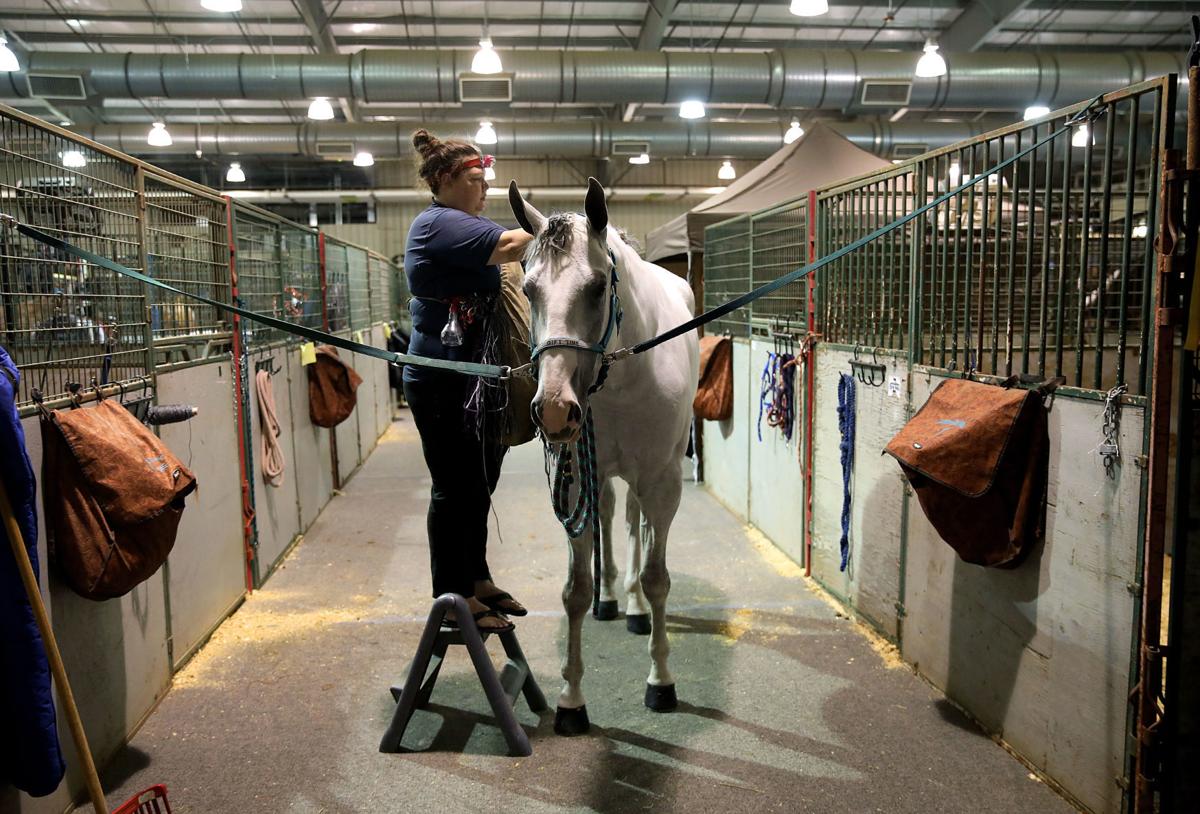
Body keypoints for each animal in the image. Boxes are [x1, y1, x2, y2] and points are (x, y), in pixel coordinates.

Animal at [508, 178, 700, 735]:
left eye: (596, 287)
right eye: (529, 289)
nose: (554, 410)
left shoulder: (662, 482)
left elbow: (657, 578)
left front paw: (661, 681)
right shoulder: (575, 481)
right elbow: (576, 588)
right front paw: (572, 700)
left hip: (644, 480)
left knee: (637, 525)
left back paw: (633, 605)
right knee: (615, 518)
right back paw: (613, 599)